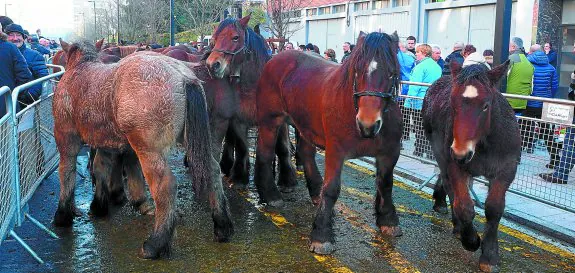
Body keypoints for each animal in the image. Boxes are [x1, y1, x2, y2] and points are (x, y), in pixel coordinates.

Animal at [53, 39, 233, 258]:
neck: (80, 69)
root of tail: (184, 76)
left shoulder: (66, 139)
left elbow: (66, 171)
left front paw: (63, 215)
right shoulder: (108, 144)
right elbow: (104, 169)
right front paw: (100, 206)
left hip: (149, 151)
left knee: (164, 186)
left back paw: (155, 244)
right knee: (213, 170)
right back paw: (222, 226)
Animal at [254, 31, 402, 253]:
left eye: (392, 73)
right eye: (357, 71)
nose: (367, 124)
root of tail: (275, 58)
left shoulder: (389, 153)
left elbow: (385, 184)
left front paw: (388, 220)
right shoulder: (336, 152)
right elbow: (332, 189)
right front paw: (322, 235)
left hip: (303, 124)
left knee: (305, 153)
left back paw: (315, 191)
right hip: (270, 122)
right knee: (265, 153)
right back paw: (271, 195)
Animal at [424, 61, 520, 272]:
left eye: (485, 106)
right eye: (452, 104)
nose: (461, 153)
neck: (484, 144)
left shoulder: (506, 170)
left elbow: (494, 208)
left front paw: (490, 255)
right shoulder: (456, 166)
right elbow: (464, 205)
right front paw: (471, 240)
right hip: (441, 154)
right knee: (450, 186)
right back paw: (456, 223)